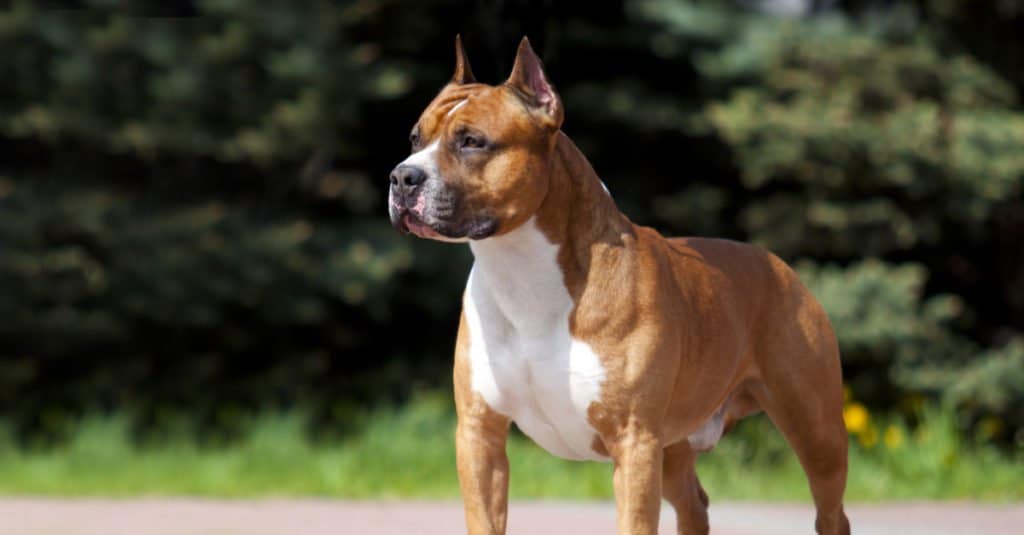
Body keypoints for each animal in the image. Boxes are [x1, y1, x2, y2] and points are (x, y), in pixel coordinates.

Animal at [387, 37, 851, 532]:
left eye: (472, 141)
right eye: (415, 139)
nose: (401, 176)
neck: (520, 269)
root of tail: (780, 266)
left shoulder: (634, 442)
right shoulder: (480, 435)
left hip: (816, 431)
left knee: (830, 510)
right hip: (675, 445)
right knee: (694, 503)